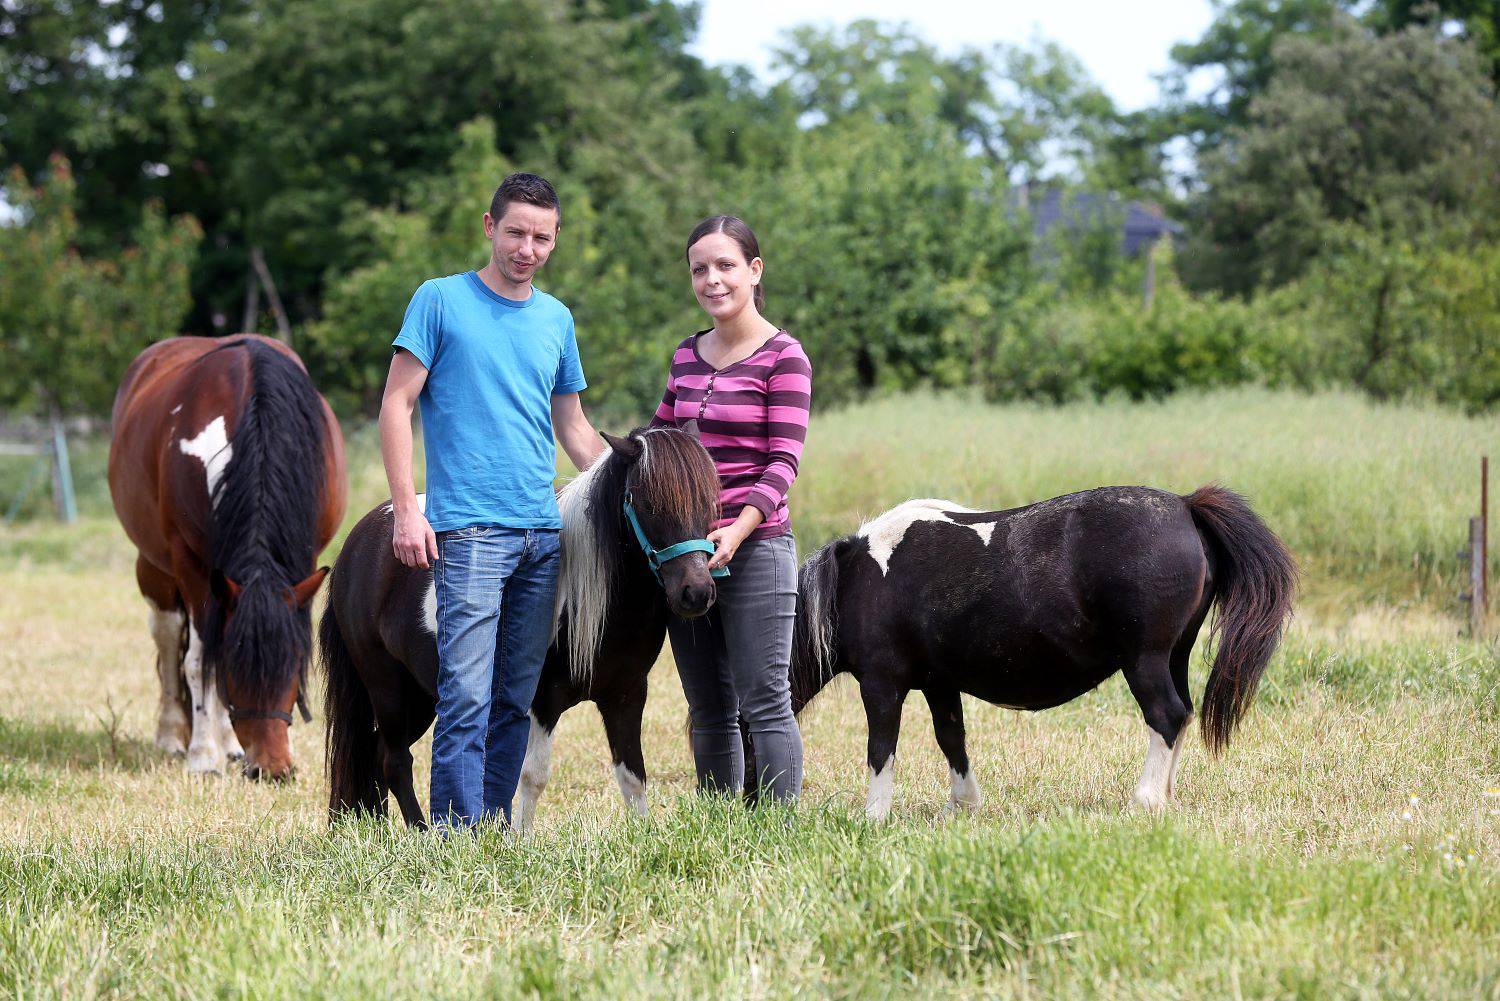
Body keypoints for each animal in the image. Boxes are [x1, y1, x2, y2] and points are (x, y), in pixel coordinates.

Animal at [109, 336, 348, 780]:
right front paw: (203, 755)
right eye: (238, 671)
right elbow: (199, 661)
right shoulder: (190, 563)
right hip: (155, 566)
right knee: (169, 634)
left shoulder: (304, 559)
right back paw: (173, 734)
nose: (272, 768)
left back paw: (231, 745)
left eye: (293, 667)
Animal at [316, 429, 720, 828]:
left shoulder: (626, 694)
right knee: (396, 761)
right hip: (387, 687)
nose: (696, 593)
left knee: (376, 754)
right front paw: (522, 839)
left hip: (421, 695)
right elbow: (533, 776)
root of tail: (359, 543)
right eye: (648, 504)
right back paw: (421, 831)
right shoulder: (542, 700)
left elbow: (632, 776)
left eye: (710, 502)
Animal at [786, 486, 1302, 822]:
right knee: (1185, 714)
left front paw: (873, 817)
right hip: (1175, 655)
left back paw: (1146, 800)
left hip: (1145, 660)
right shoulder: (939, 683)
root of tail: (1184, 506)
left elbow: (880, 749)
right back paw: (1167, 795)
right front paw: (963, 805)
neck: (856, 582)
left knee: (1167, 715)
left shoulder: (881, 684)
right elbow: (952, 739)